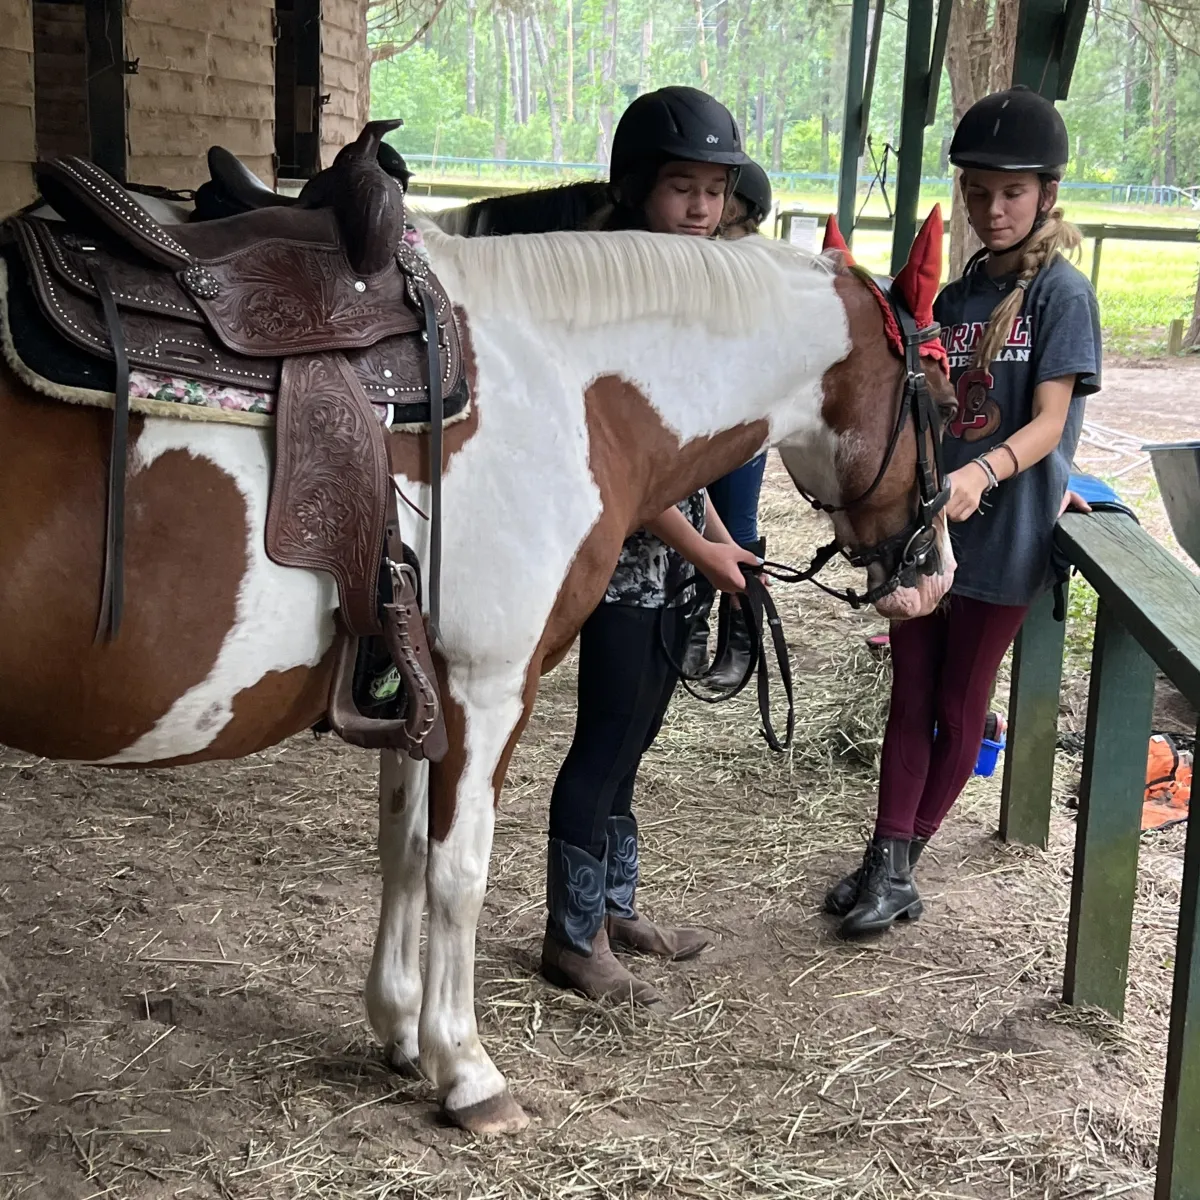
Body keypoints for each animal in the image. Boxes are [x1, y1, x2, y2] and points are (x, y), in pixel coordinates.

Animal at [0, 207, 955, 1134]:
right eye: (946, 403)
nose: (934, 571)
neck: (563, 387)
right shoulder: (488, 689)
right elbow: (458, 874)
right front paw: (464, 1070)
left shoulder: (415, 685)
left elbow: (404, 851)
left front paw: (398, 1029)